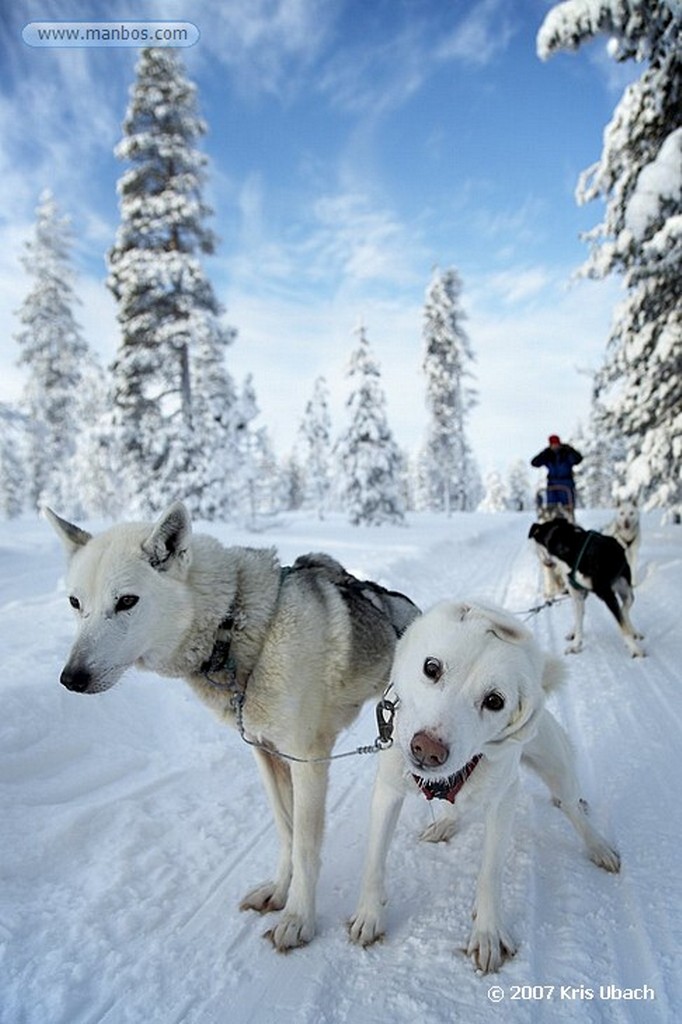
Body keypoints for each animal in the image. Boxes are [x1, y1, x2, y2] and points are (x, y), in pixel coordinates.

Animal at [45, 501, 417, 950]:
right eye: (74, 602)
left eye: (127, 601)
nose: (71, 678)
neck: (237, 626)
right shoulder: (267, 754)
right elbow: (286, 833)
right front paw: (279, 891)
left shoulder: (308, 761)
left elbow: (306, 847)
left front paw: (298, 918)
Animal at [348, 602, 618, 970]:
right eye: (431, 667)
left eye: (494, 701)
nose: (427, 750)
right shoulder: (387, 792)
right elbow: (374, 862)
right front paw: (369, 915)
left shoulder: (503, 802)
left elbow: (490, 874)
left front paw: (488, 933)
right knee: (456, 807)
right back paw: (445, 824)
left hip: (556, 769)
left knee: (573, 808)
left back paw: (599, 845)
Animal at [524, 520, 643, 655]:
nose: (544, 561)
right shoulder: (577, 595)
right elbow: (579, 622)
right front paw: (576, 644)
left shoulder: (607, 594)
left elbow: (622, 623)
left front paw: (635, 649)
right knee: (579, 616)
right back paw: (573, 631)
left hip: (625, 591)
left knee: (625, 609)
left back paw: (634, 631)